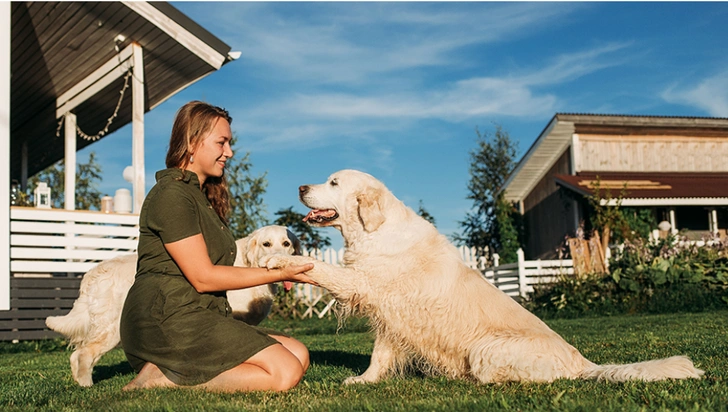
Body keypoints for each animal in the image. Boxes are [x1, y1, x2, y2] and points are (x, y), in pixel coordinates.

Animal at [46, 225, 302, 386]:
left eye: (286, 243)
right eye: (266, 244)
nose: (281, 259)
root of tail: (94, 272)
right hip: (110, 329)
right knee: (83, 354)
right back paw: (87, 386)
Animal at [264, 169, 704, 384]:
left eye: (334, 182)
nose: (301, 186)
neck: (375, 230)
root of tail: (583, 363)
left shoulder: (365, 285)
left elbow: (320, 268)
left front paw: (279, 261)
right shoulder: (392, 316)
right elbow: (380, 356)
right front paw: (364, 382)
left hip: (485, 348)